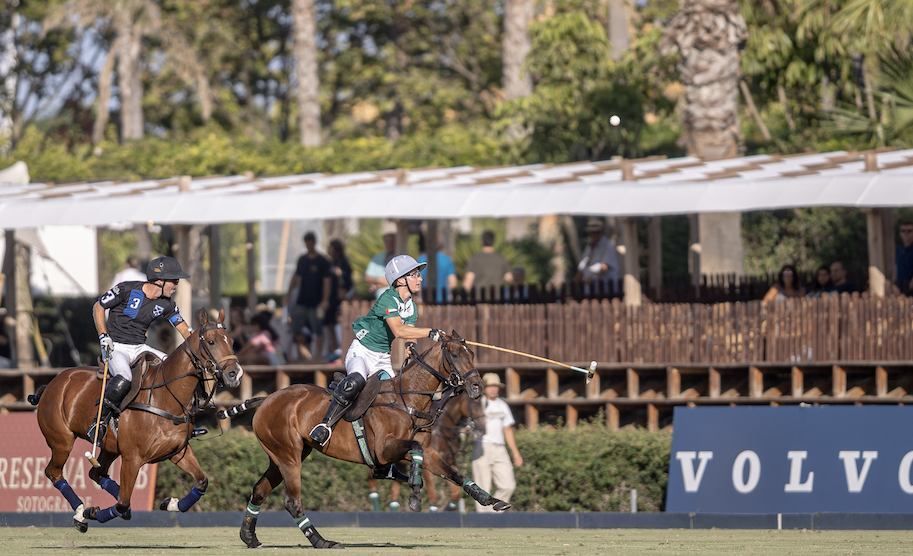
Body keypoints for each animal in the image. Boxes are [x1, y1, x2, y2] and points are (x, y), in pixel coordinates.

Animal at [29, 310, 242, 532]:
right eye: (211, 341)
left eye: (231, 341)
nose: (234, 374)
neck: (165, 397)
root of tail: (51, 384)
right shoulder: (132, 458)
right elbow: (122, 504)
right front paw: (91, 512)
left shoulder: (178, 452)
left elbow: (202, 481)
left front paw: (170, 503)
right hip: (61, 441)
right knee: (54, 472)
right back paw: (80, 512)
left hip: (109, 447)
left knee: (97, 474)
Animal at [239, 332, 510, 548]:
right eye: (454, 354)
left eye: (471, 353)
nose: (476, 387)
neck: (407, 400)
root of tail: (266, 399)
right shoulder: (384, 449)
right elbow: (416, 450)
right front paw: (414, 493)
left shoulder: (427, 453)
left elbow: (451, 472)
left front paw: (492, 500)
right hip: (289, 456)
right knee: (292, 501)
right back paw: (321, 541)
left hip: (282, 456)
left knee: (260, 490)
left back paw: (249, 537)